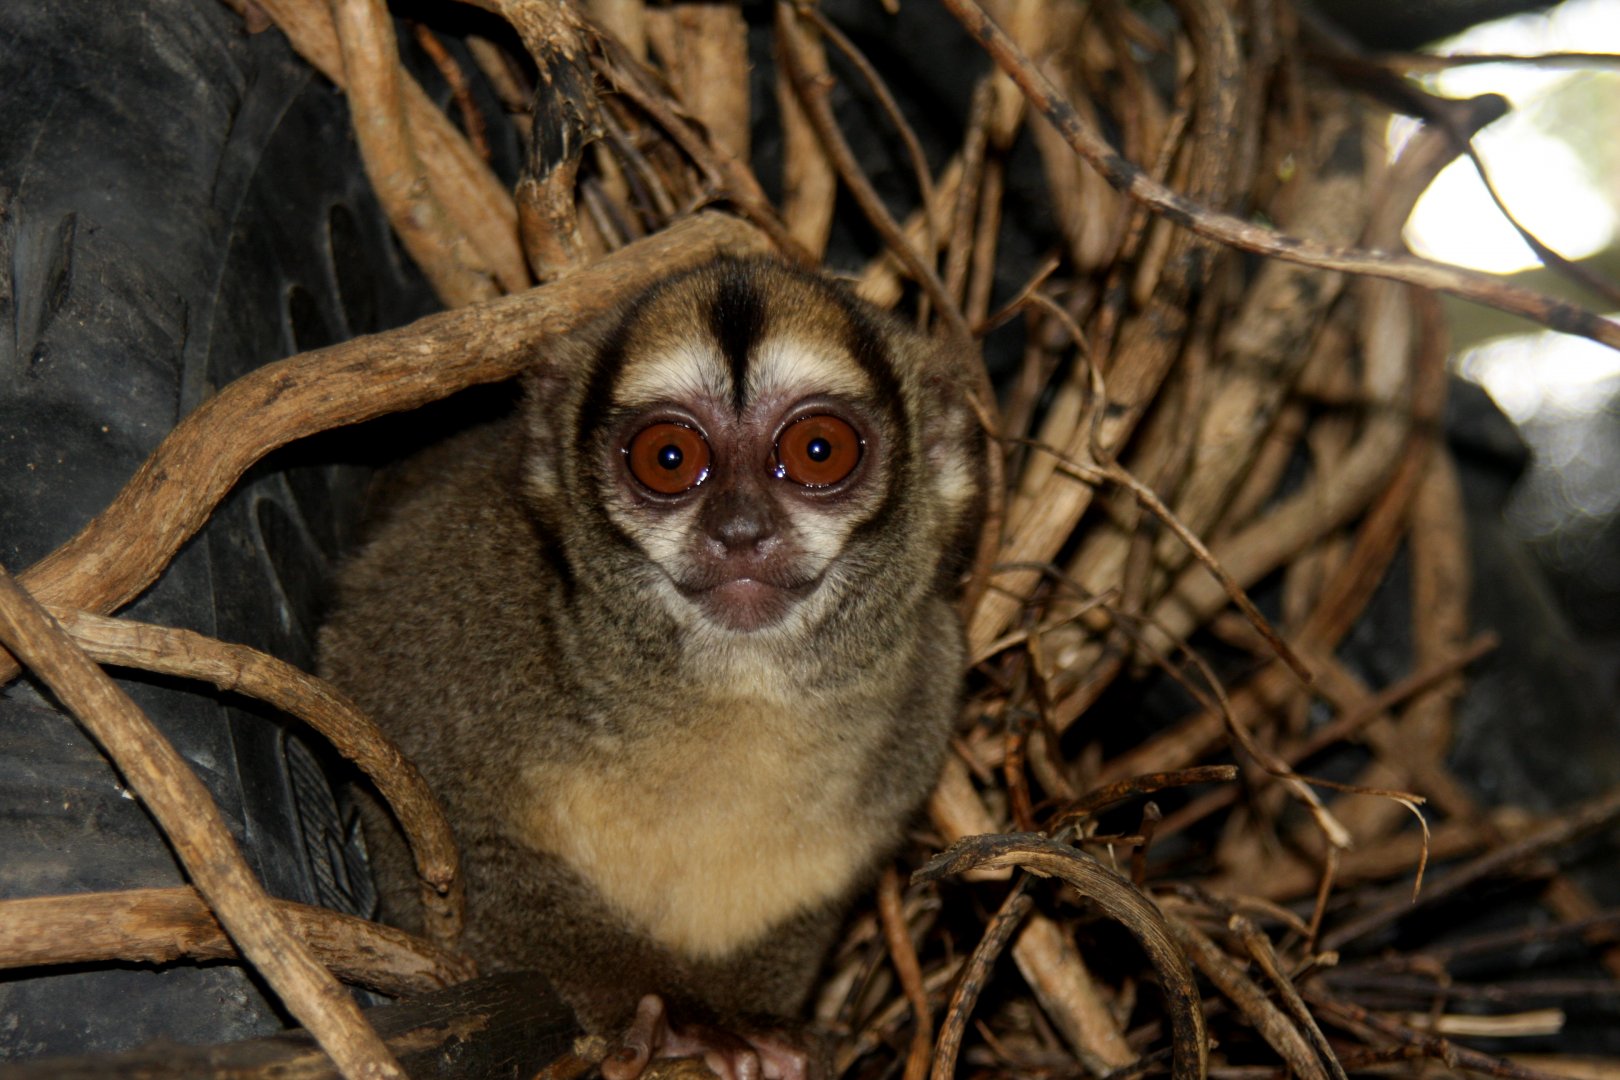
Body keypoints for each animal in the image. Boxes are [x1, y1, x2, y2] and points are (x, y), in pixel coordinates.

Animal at [319, 256, 983, 1077]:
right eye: (669, 459)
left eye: (818, 451)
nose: (741, 531)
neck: (732, 686)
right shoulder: (438, 611)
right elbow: (441, 841)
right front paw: (681, 1018)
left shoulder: (929, 684)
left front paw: (759, 1029)